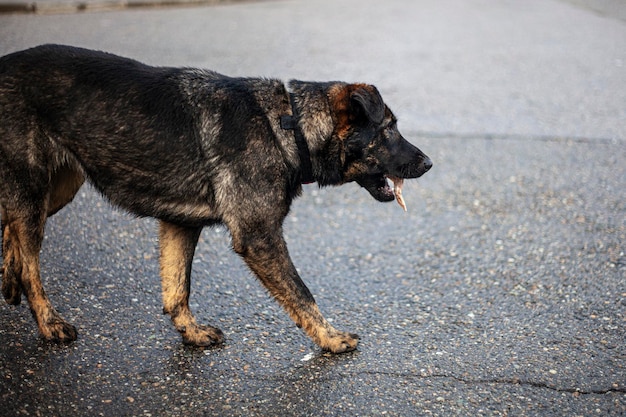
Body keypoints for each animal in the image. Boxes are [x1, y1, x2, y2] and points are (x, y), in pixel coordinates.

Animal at [0, 44, 428, 352]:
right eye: (389, 129)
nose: (429, 163)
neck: (287, 125)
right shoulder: (259, 237)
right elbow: (301, 292)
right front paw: (330, 338)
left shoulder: (180, 224)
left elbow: (177, 288)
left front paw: (190, 332)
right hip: (35, 190)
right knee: (31, 261)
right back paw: (49, 322)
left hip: (58, 190)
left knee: (12, 229)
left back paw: (9, 279)